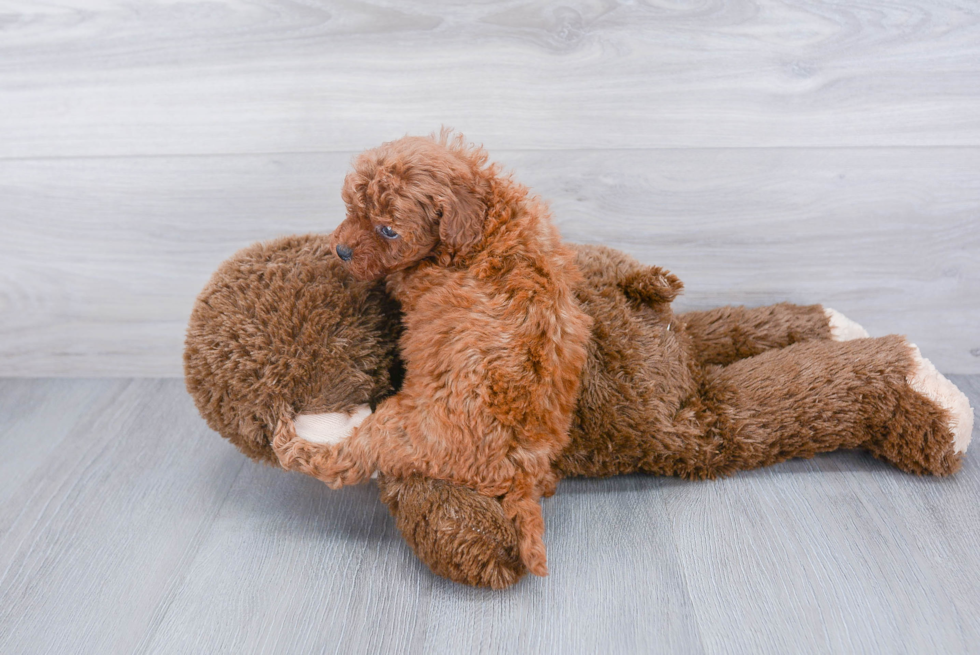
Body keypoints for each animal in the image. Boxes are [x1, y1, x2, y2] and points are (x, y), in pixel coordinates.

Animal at [278, 131, 596, 576]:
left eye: (388, 230)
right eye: (351, 209)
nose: (340, 251)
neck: (483, 223)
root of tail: (517, 474)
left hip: (396, 426)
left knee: (345, 462)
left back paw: (290, 441)